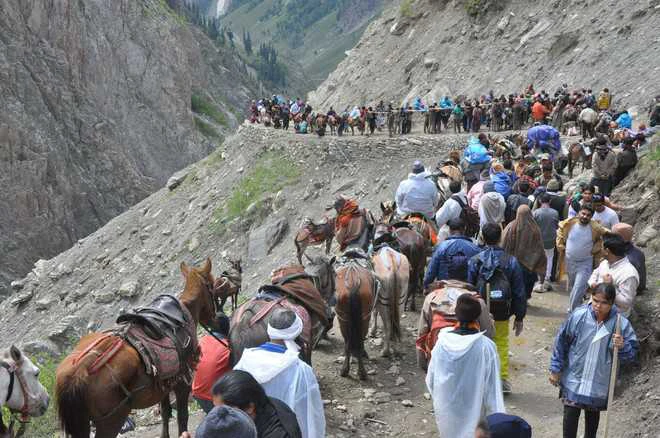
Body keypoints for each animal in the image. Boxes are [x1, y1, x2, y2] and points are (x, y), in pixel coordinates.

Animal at [56, 260, 217, 438]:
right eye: (212, 285)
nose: (214, 318)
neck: (183, 313)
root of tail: (81, 369)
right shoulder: (183, 382)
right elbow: (182, 418)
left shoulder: (164, 385)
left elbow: (165, 414)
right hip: (112, 420)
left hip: (84, 423)